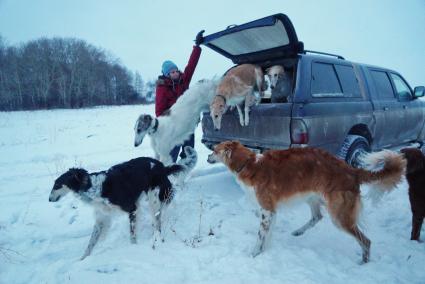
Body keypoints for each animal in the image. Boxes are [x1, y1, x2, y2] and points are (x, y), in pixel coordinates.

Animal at [48, 146, 197, 260]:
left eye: (57, 185)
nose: (49, 199)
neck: (96, 188)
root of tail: (161, 166)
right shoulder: (102, 218)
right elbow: (90, 244)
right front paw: (82, 260)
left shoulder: (132, 208)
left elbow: (132, 235)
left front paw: (134, 249)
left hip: (154, 199)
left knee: (158, 219)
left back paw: (157, 236)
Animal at [207, 141, 406, 264]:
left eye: (215, 150)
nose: (208, 157)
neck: (249, 164)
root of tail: (351, 170)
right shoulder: (272, 212)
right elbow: (267, 236)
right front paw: (265, 252)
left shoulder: (267, 210)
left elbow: (260, 237)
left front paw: (254, 254)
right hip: (313, 198)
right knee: (317, 217)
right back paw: (298, 231)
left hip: (339, 215)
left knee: (366, 241)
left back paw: (363, 263)